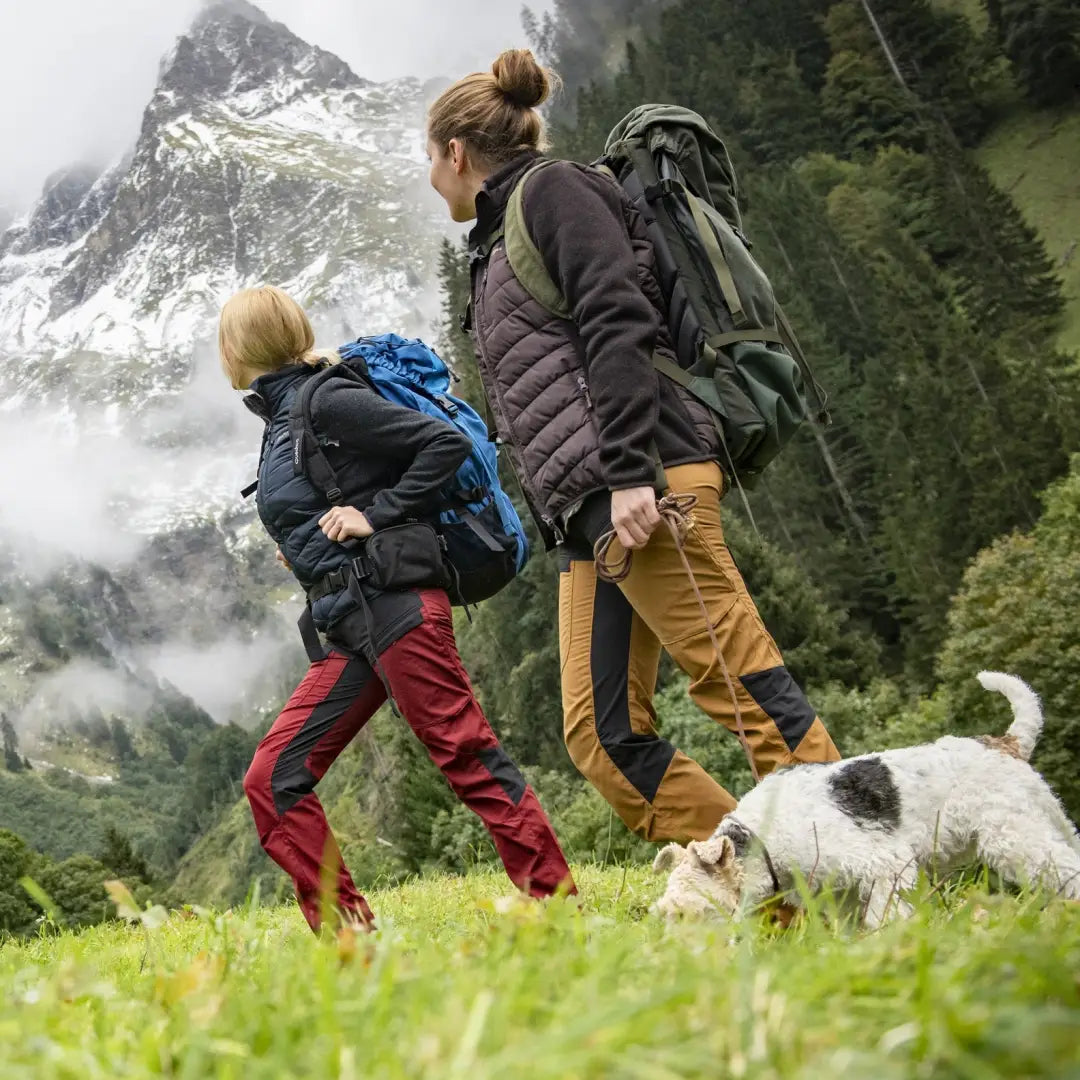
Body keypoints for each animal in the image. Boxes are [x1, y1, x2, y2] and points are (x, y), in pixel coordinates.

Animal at [648, 669, 1080, 924]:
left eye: (690, 912)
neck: (765, 837)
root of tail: (1007, 743)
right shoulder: (841, 890)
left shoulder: (885, 867)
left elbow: (884, 918)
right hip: (1047, 820)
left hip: (1014, 836)